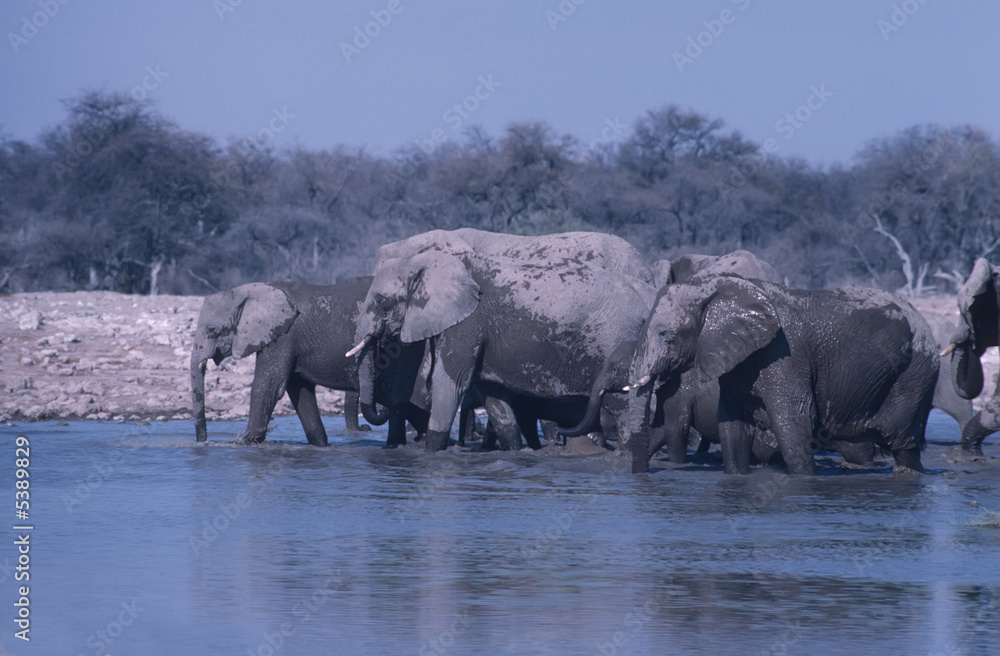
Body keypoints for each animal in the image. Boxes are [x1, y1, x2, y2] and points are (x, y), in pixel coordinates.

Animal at [190, 278, 428, 447]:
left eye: (212, 330)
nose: (203, 441)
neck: (248, 292)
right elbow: (299, 390)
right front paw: (320, 444)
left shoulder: (282, 337)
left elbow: (269, 386)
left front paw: (246, 442)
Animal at [348, 229, 657, 452]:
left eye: (383, 301)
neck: (429, 260)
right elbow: (493, 394)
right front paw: (517, 453)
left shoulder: (467, 321)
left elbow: (452, 382)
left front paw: (432, 455)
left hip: (614, 339)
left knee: (621, 404)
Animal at [622, 277, 938, 475]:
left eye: (666, 335)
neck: (716, 286)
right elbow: (732, 428)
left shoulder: (785, 356)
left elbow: (793, 424)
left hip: (914, 372)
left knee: (900, 439)